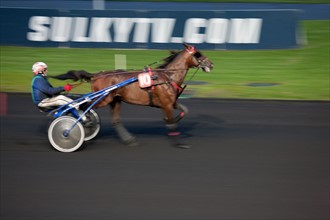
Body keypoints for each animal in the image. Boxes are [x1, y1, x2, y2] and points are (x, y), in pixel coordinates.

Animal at [50, 43, 213, 148]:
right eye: (198, 54)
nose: (211, 64)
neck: (168, 77)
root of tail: (96, 75)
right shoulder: (166, 104)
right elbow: (172, 123)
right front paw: (179, 143)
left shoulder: (170, 102)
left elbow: (184, 110)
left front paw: (176, 119)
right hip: (103, 99)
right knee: (84, 106)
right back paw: (81, 124)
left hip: (115, 100)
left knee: (115, 121)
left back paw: (129, 140)